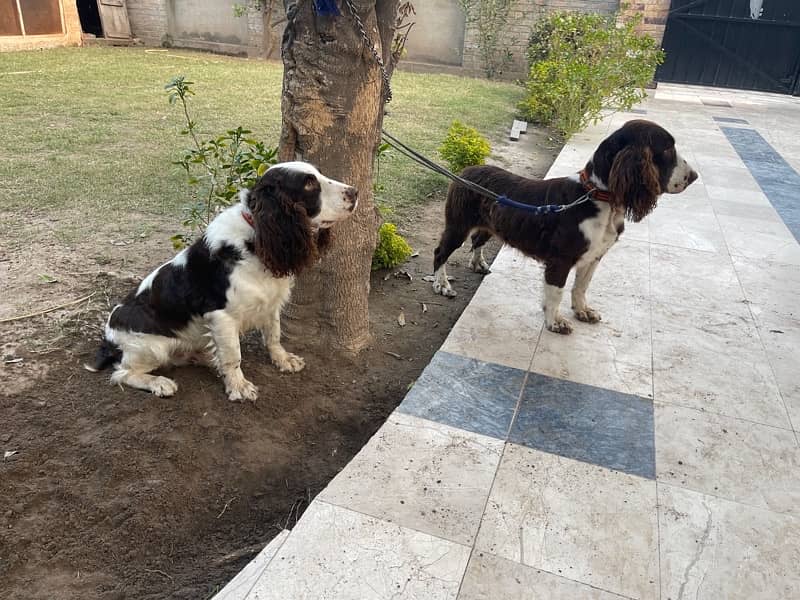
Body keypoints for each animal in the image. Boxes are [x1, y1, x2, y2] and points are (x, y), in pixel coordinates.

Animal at [86, 162, 358, 400]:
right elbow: (233, 356)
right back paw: (160, 383)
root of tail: (108, 340)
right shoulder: (221, 315)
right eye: (309, 184)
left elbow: (273, 335)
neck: (257, 237)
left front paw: (284, 360)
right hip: (151, 347)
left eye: (319, 174)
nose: (355, 192)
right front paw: (239, 387)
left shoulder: (270, 303)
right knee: (122, 373)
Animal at [434, 117, 696, 332]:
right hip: (458, 225)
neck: (597, 197)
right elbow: (556, 292)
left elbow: (581, 286)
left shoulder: (594, 256)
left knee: (478, 240)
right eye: (667, 148)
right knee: (441, 252)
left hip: (490, 225)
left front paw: (583, 311)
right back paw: (442, 284)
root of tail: (466, 170)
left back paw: (477, 263)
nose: (694, 177)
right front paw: (555, 322)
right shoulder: (560, 259)